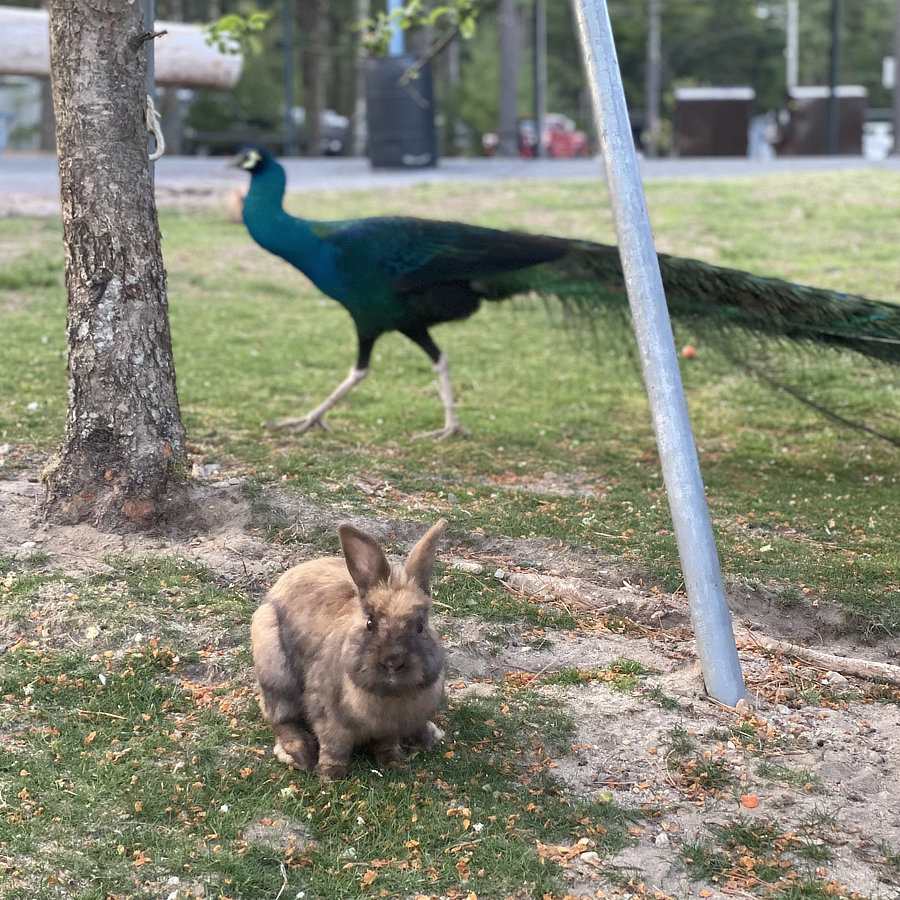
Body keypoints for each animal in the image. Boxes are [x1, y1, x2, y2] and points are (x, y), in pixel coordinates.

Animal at [250, 520, 446, 780]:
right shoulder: (328, 717)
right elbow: (334, 746)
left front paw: (393, 761)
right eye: (370, 623)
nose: (392, 662)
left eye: (421, 627)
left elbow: (386, 742)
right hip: (275, 670)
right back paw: (300, 754)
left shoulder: (390, 727)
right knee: (282, 718)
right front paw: (330, 775)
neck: (389, 695)